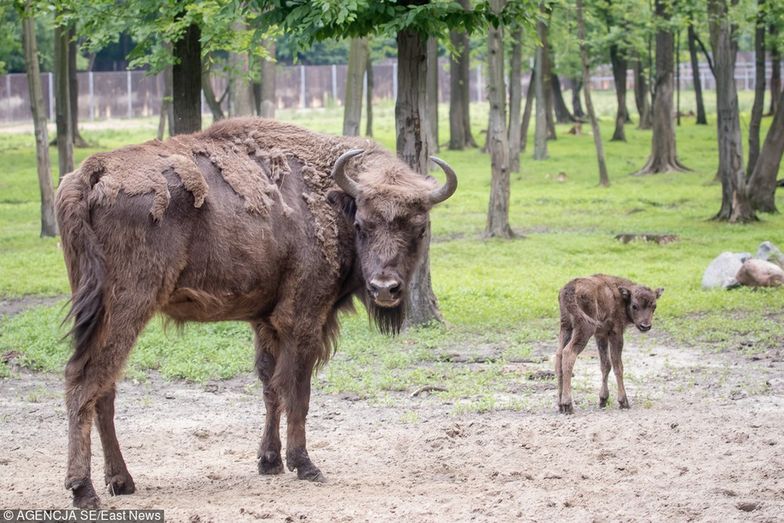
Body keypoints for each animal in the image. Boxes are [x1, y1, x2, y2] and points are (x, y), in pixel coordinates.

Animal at [55, 117, 456, 508]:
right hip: (128, 307)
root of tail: (92, 171)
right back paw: (83, 490)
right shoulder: (303, 318)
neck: (332, 197)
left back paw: (121, 481)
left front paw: (269, 461)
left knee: (104, 390)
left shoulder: (266, 321)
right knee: (85, 381)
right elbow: (297, 391)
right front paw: (304, 464)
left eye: (420, 228)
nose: (385, 288)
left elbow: (270, 386)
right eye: (362, 225)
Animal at [556, 276, 664, 416]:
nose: (645, 326)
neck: (623, 298)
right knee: (568, 353)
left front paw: (603, 399)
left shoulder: (601, 335)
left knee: (559, 356)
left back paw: (560, 405)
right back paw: (568, 405)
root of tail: (570, 288)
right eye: (634, 306)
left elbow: (605, 365)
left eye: (654, 306)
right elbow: (618, 366)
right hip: (585, 328)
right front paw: (623, 402)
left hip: (566, 327)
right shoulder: (616, 333)